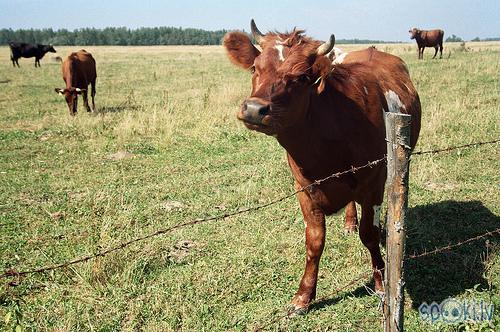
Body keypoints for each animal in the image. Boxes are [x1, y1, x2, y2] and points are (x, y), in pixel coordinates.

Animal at [224, 20, 422, 312]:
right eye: (255, 68)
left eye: (301, 77)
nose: (253, 109)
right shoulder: (304, 188)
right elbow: (314, 241)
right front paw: (303, 296)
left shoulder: (373, 182)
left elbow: (370, 234)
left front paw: (380, 283)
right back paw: (349, 222)